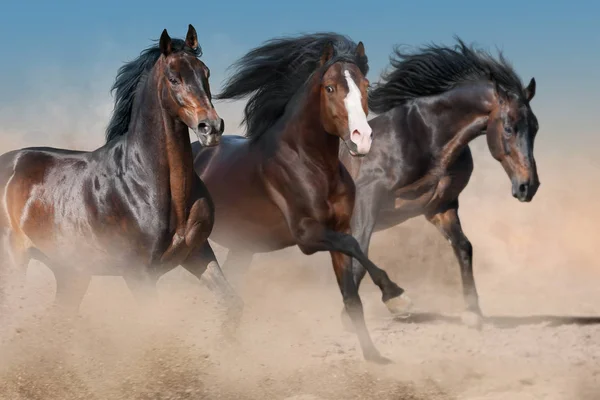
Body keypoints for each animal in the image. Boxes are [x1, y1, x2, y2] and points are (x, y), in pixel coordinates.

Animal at [0, 25, 240, 328]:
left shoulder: (197, 253)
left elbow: (233, 303)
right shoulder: (139, 274)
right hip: (14, 264)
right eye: (173, 78)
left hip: (72, 275)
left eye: (205, 72)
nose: (211, 127)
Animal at [192, 32, 408, 362]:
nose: (362, 139)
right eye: (330, 88)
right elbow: (354, 245)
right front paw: (395, 295)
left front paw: (374, 356)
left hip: (243, 248)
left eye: (366, 85)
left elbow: (351, 295)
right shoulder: (307, 235)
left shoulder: (337, 230)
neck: (312, 164)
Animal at [338, 37, 544, 328]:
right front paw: (370, 309)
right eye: (508, 128)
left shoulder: (440, 206)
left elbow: (463, 247)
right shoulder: (368, 197)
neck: (424, 135)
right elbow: (359, 248)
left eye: (535, 128)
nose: (528, 186)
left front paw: (472, 312)